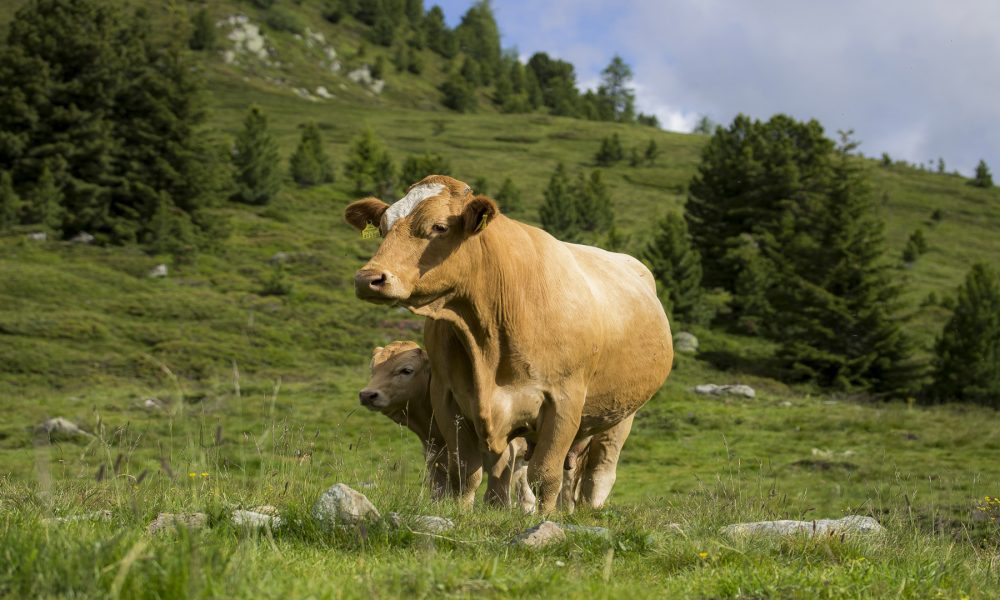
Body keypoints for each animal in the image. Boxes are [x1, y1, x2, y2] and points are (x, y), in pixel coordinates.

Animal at [345, 175, 672, 513]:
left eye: (439, 227)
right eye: (383, 227)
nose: (368, 278)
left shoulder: (563, 401)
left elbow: (545, 475)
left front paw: (543, 517)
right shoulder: (448, 400)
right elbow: (466, 473)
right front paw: (464, 514)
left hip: (621, 415)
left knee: (598, 474)